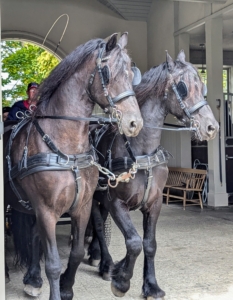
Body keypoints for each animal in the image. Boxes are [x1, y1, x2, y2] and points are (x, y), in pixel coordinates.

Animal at [4, 31, 143, 298]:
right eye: (108, 72)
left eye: (132, 74)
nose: (135, 123)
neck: (67, 148)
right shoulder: (46, 210)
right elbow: (53, 264)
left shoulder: (82, 206)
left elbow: (77, 252)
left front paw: (67, 288)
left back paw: (33, 278)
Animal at [88, 50, 219, 298]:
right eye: (182, 87)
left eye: (203, 86)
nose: (211, 127)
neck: (141, 152)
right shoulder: (116, 202)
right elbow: (134, 242)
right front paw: (121, 280)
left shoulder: (154, 202)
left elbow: (149, 243)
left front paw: (151, 285)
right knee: (98, 226)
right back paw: (106, 263)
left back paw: (96, 254)